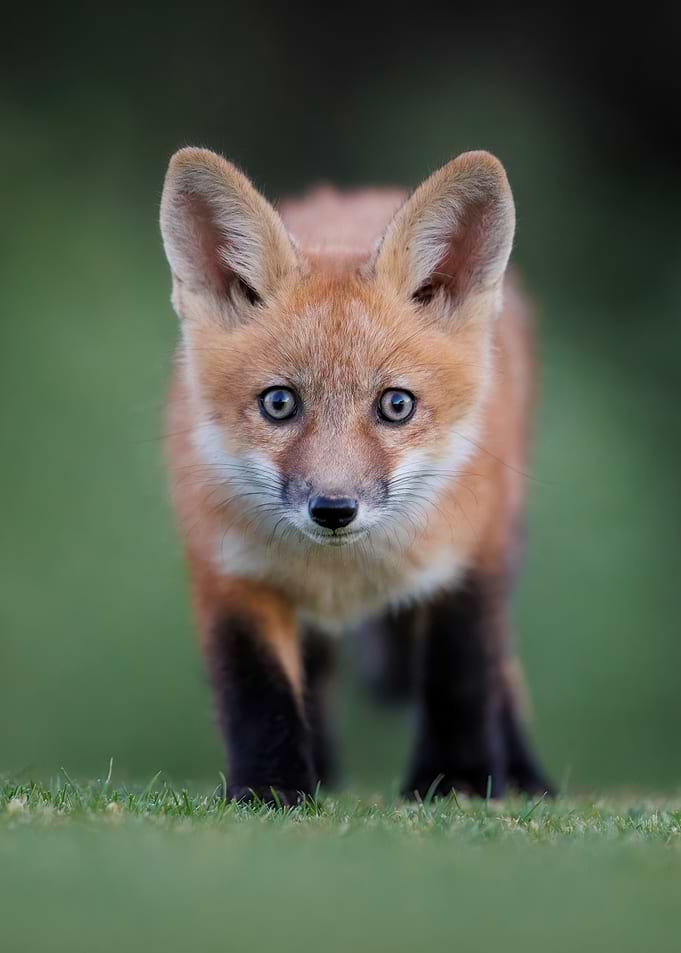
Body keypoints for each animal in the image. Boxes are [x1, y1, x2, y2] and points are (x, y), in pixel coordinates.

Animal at [159, 146, 553, 804]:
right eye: (279, 403)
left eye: (396, 405)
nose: (334, 509)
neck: (344, 576)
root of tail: (359, 194)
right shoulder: (227, 572)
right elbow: (257, 692)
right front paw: (271, 788)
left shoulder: (471, 560)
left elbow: (462, 677)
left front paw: (458, 780)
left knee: (505, 670)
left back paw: (524, 772)